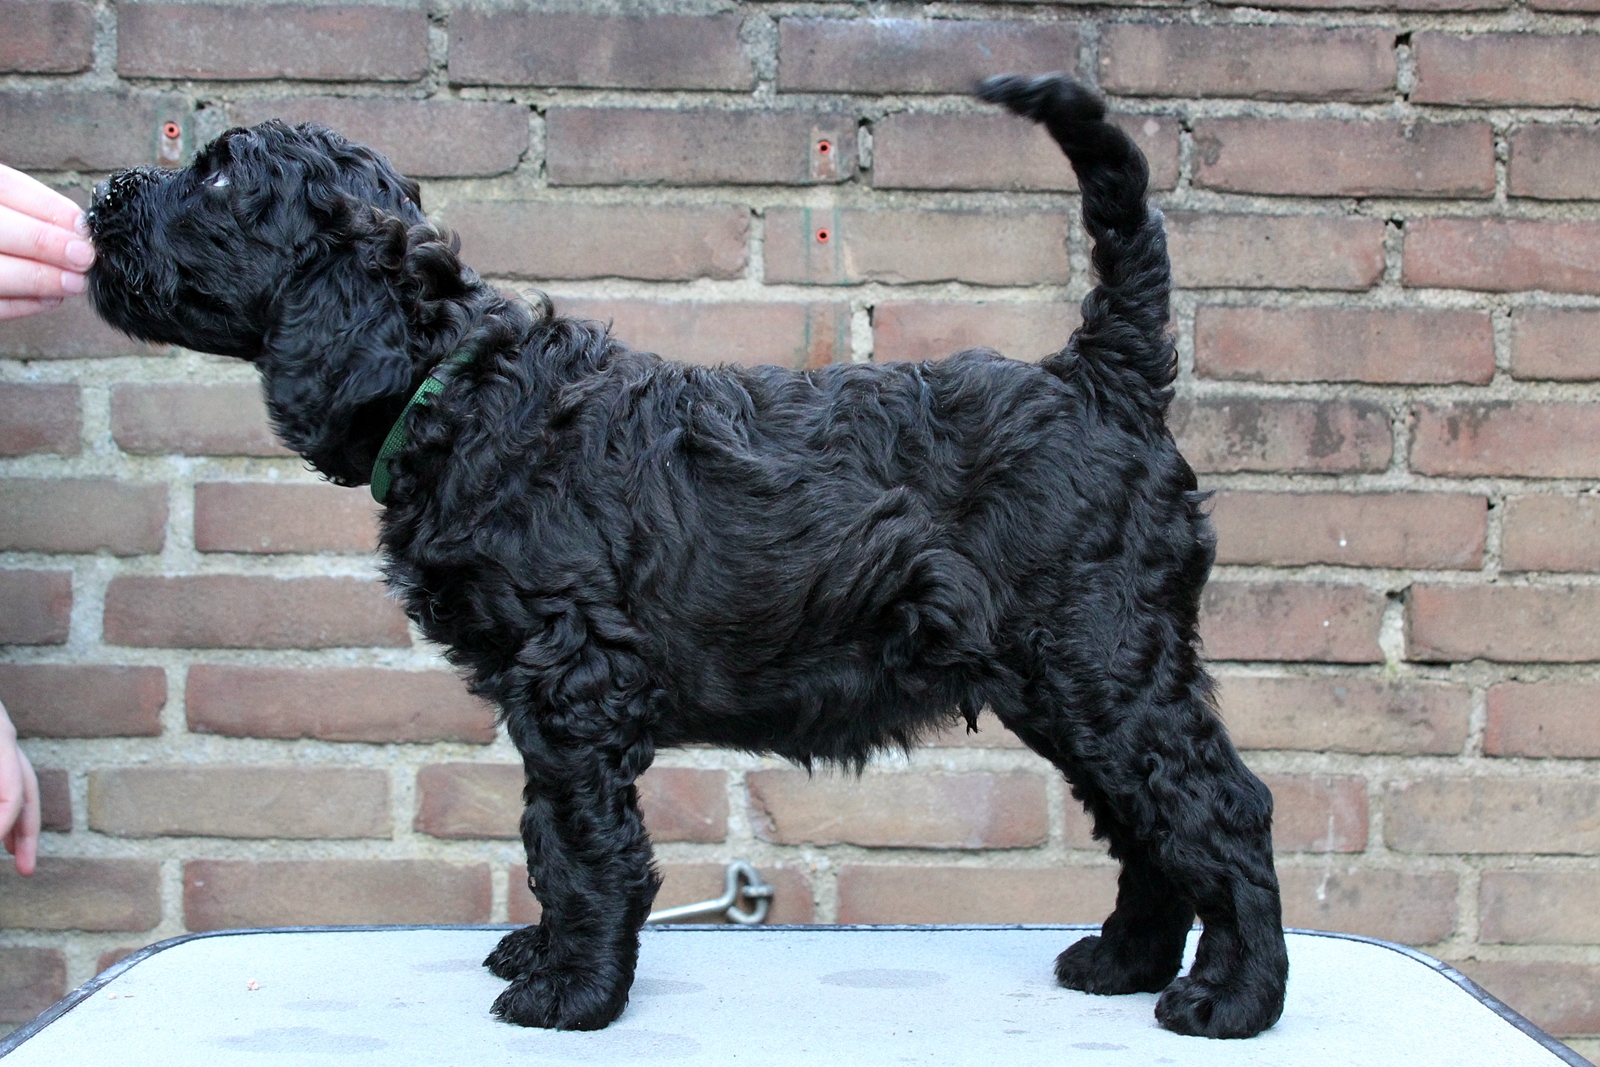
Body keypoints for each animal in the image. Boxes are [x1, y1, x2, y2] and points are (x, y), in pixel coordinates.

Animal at [86, 75, 1288, 1039]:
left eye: (220, 178)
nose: (98, 200)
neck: (458, 389)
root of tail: (1098, 372)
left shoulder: (576, 680)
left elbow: (584, 842)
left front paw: (571, 993)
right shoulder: (540, 697)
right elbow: (545, 833)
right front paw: (545, 952)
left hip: (1103, 656)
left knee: (1218, 807)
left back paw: (1232, 999)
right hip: (1070, 680)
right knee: (1147, 820)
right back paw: (1126, 963)